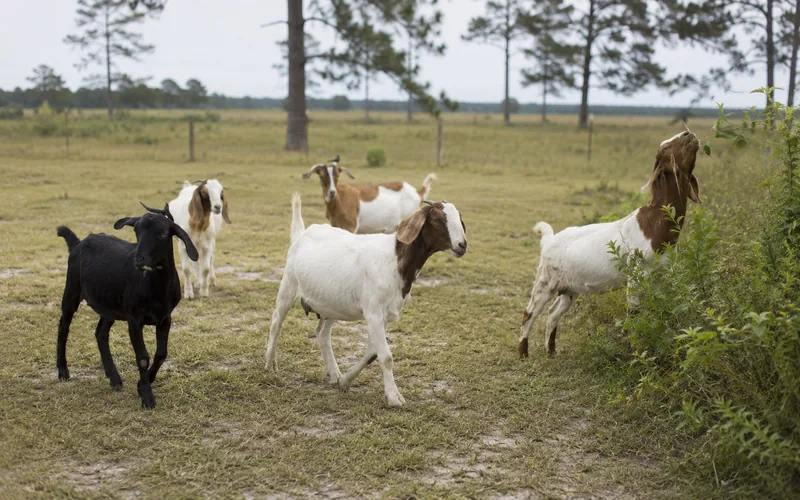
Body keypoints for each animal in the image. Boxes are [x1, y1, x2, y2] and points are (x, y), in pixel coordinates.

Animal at [56, 202, 199, 409]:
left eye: (163, 233)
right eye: (136, 232)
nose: (139, 260)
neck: (155, 287)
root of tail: (78, 243)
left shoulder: (165, 318)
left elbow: (161, 353)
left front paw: (146, 381)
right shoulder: (134, 319)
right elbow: (142, 358)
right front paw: (146, 395)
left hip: (108, 304)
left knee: (100, 333)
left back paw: (114, 378)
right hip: (72, 289)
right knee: (63, 327)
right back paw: (63, 371)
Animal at [264, 193, 467, 406]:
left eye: (460, 218)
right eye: (437, 219)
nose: (462, 245)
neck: (395, 259)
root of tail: (301, 234)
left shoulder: (385, 315)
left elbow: (372, 353)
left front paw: (345, 381)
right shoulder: (374, 312)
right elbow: (385, 357)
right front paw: (394, 397)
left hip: (330, 304)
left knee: (322, 333)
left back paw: (334, 374)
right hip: (289, 285)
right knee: (276, 322)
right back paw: (270, 364)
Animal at [302, 155, 437, 233]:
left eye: (337, 175)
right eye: (321, 176)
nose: (331, 193)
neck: (339, 199)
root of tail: (418, 193)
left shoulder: (351, 227)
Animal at [518, 130, 701, 358]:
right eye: (665, 148)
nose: (689, 133)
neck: (655, 222)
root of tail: (549, 240)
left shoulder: (660, 275)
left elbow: (657, 308)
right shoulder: (636, 275)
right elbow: (634, 313)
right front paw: (636, 351)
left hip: (569, 288)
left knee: (553, 313)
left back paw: (551, 352)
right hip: (545, 280)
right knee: (529, 313)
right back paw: (523, 354)